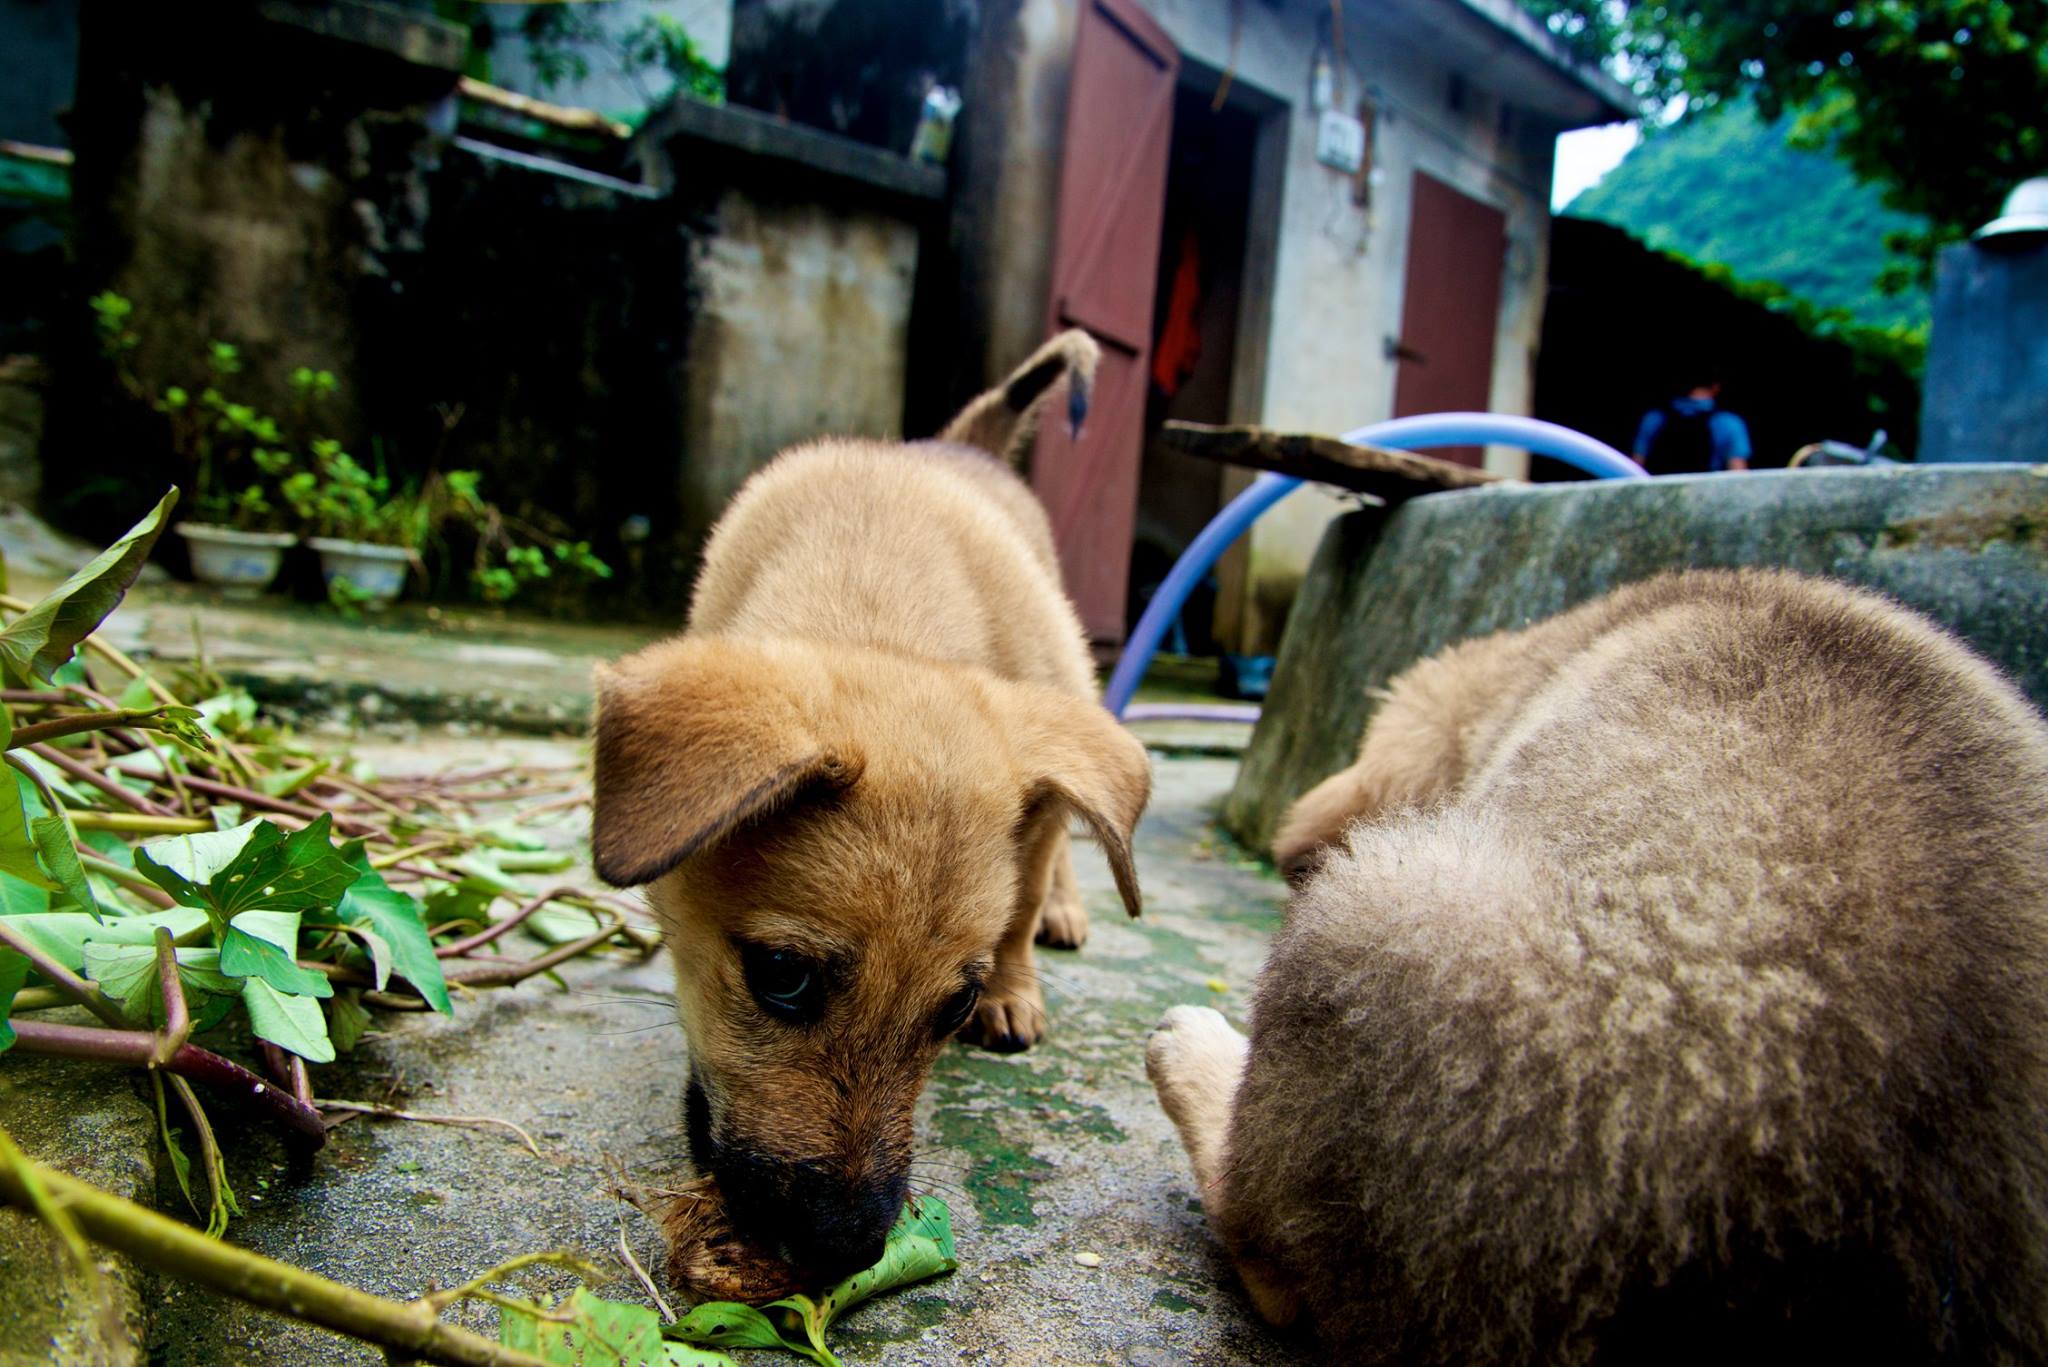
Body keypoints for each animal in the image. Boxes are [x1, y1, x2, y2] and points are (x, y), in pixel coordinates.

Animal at [593, 334, 1155, 1287]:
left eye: (957, 1006)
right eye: (782, 974)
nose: (846, 1248)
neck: (877, 593)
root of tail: (965, 445)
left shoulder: (1044, 761)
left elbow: (1019, 902)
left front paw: (1014, 984)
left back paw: (1065, 913)